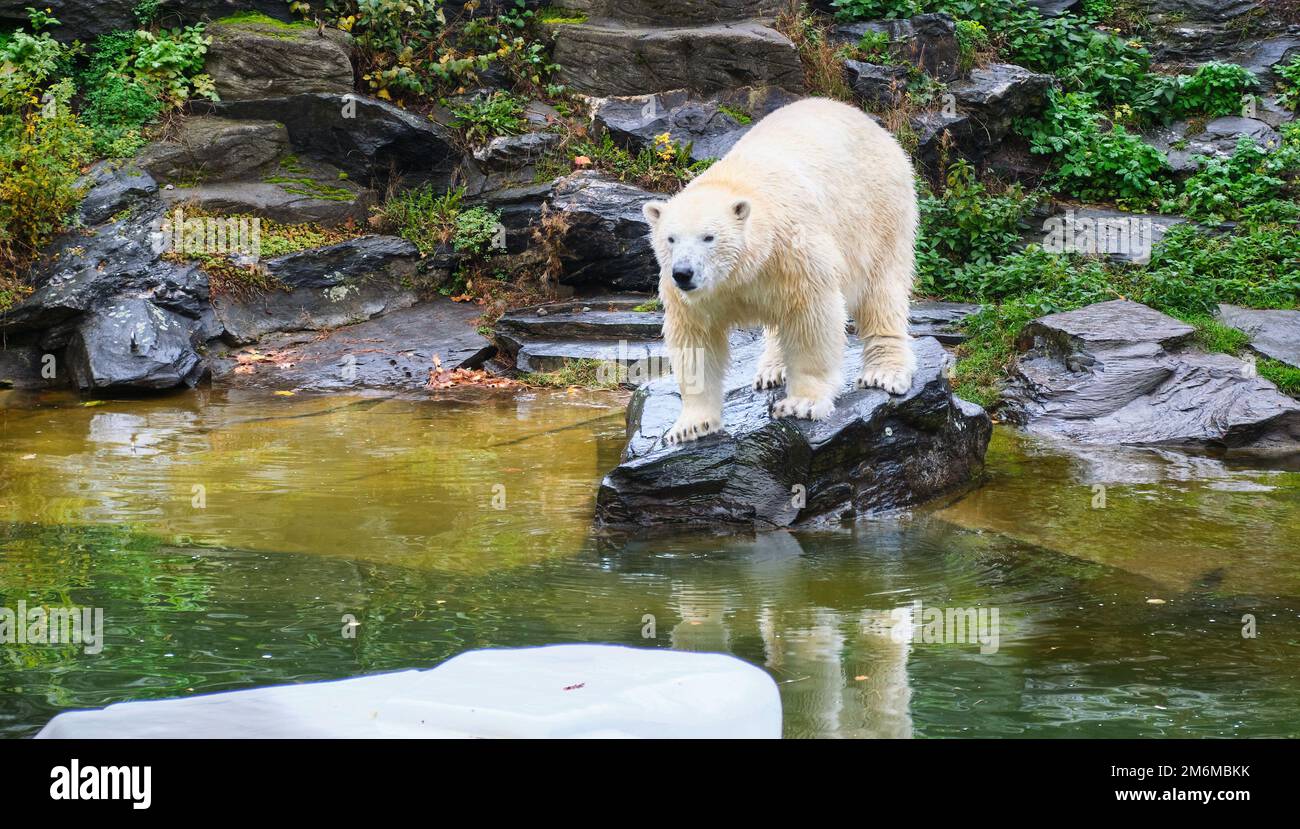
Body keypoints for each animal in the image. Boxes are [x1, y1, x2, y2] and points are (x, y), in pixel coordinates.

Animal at [642, 97, 918, 445]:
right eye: (670, 238)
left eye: (709, 237)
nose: (683, 273)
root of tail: (873, 124)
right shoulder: (695, 295)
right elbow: (696, 339)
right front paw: (690, 425)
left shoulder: (793, 250)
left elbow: (811, 316)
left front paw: (801, 403)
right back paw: (773, 369)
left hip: (879, 210)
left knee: (881, 288)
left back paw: (884, 371)